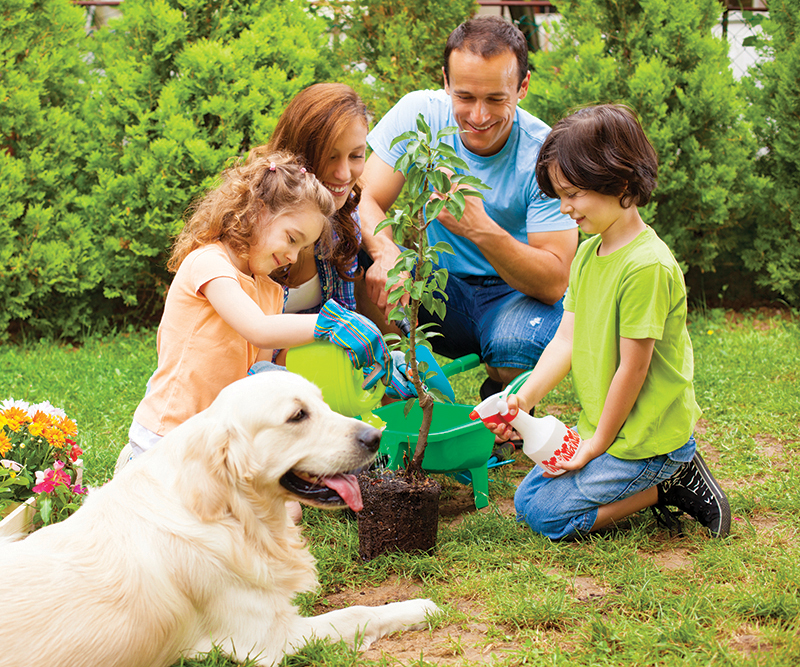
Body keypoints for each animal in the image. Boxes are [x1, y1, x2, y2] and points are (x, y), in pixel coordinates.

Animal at [0, 374, 438, 664]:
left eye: (323, 402)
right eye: (298, 415)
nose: (374, 437)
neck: (231, 511)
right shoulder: (270, 640)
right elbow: (358, 612)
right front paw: (420, 607)